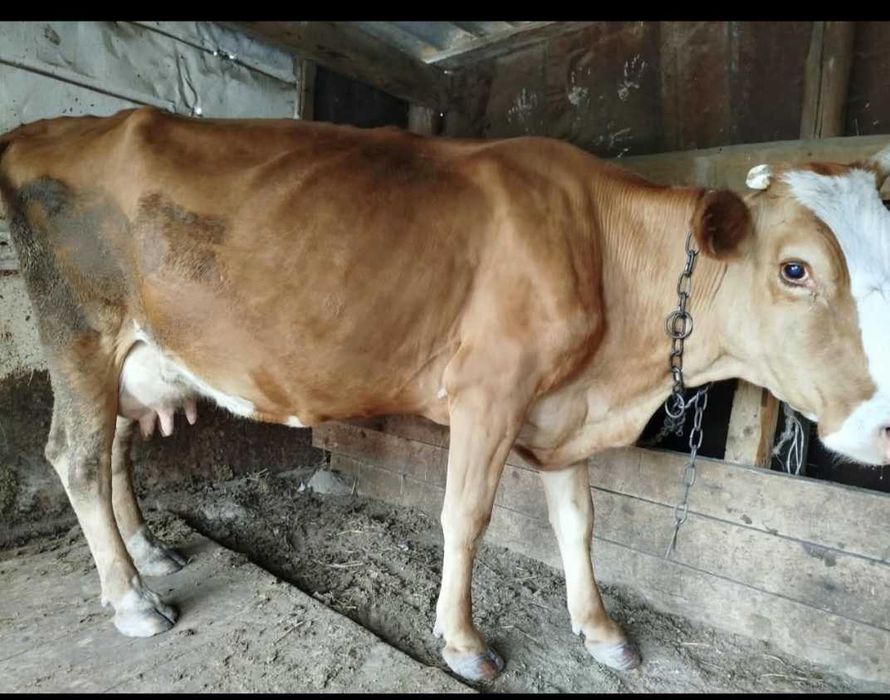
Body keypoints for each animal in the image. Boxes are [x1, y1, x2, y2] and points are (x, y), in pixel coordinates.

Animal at [0, 106, 888, 683]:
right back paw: (132, 600)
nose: (883, 425)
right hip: (80, 333)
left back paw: (149, 554)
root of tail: (52, 125)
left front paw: (600, 630)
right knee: (74, 456)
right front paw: (462, 643)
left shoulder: (563, 406)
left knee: (114, 448)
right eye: (796, 268)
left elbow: (579, 523)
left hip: (135, 358)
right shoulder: (490, 389)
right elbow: (466, 517)